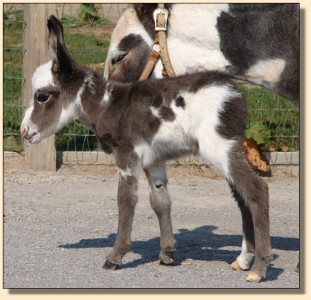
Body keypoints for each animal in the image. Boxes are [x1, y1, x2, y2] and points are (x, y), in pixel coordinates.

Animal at [20, 15, 272, 284]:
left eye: (42, 97)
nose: (24, 131)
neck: (105, 105)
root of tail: (235, 94)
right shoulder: (154, 160)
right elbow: (160, 202)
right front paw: (167, 253)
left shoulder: (126, 156)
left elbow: (126, 201)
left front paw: (115, 257)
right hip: (227, 150)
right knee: (242, 196)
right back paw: (244, 260)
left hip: (218, 147)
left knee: (257, 190)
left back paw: (259, 268)